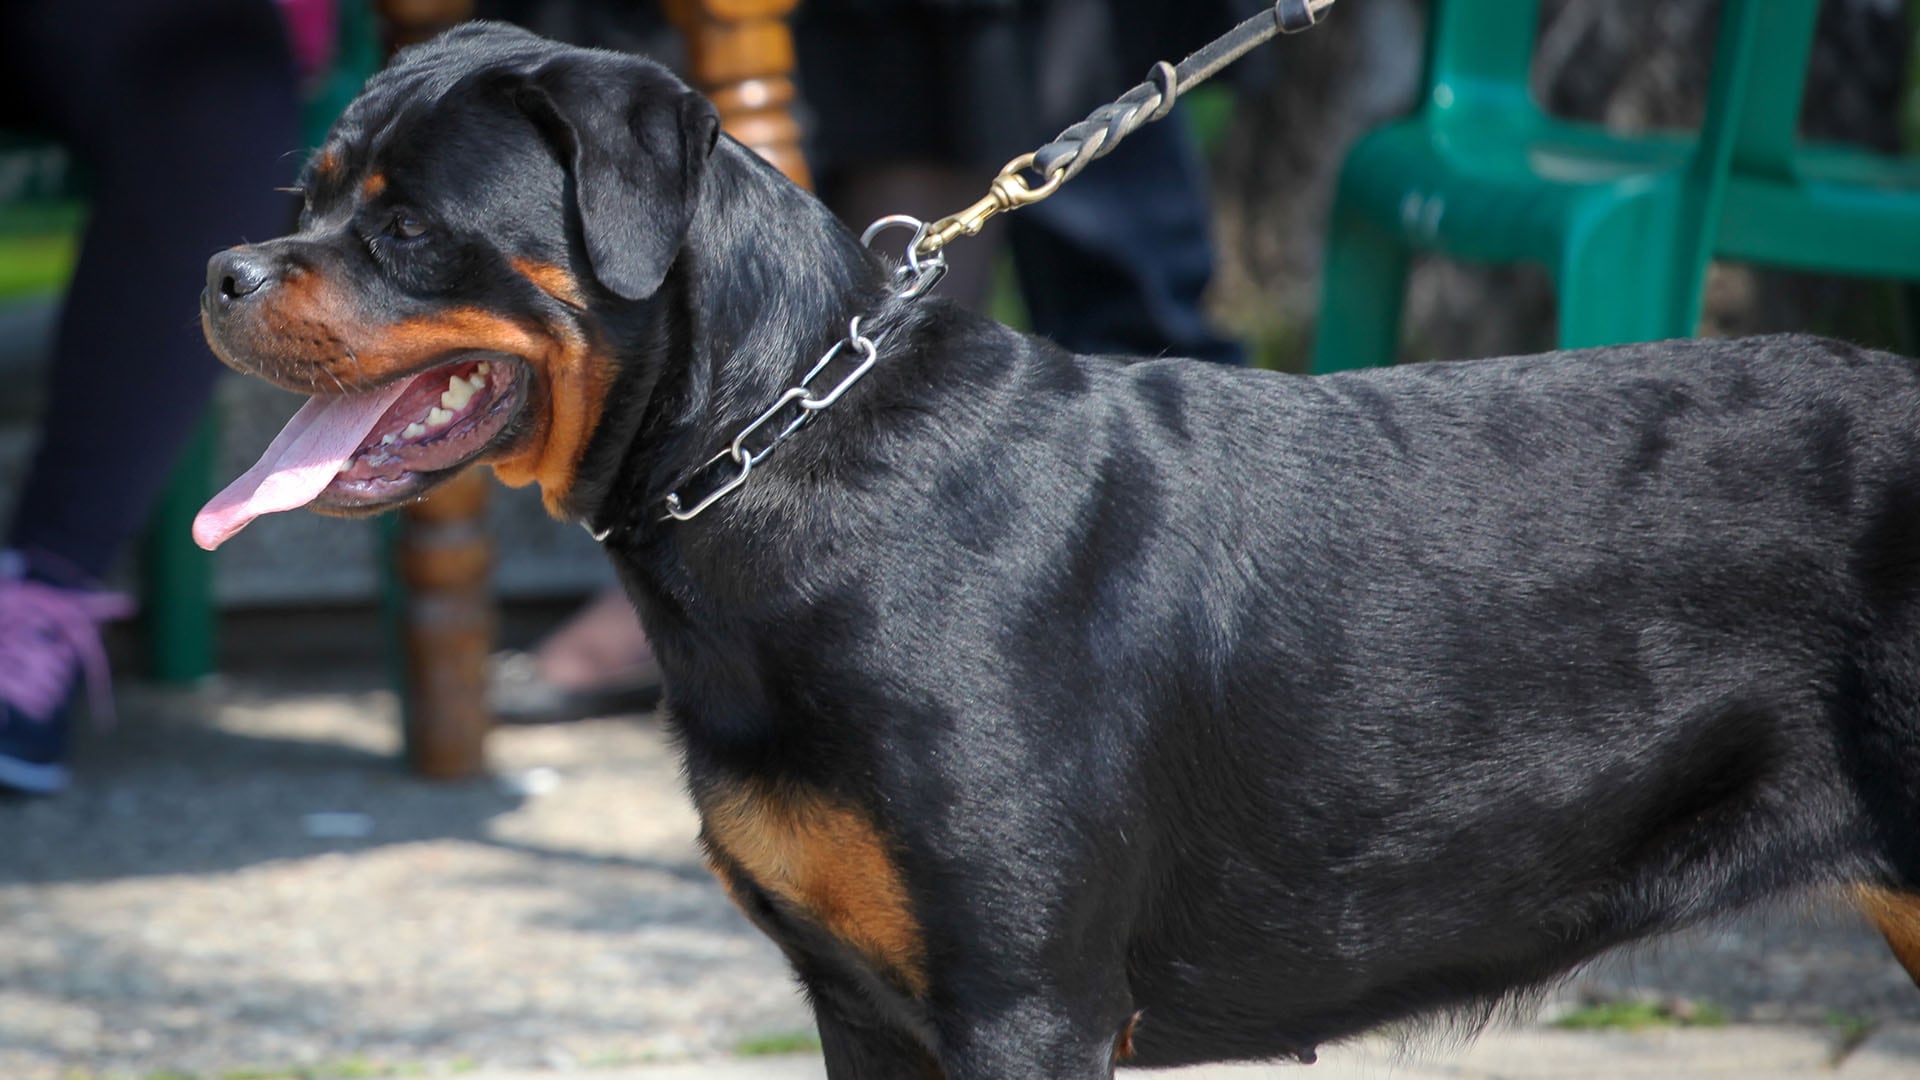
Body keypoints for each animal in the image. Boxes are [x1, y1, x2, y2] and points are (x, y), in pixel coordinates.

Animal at [194, 21, 1920, 1068]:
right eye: (308, 191)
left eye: (406, 227)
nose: (221, 268)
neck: (779, 451)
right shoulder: (865, 1008)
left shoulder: (1025, 1001)